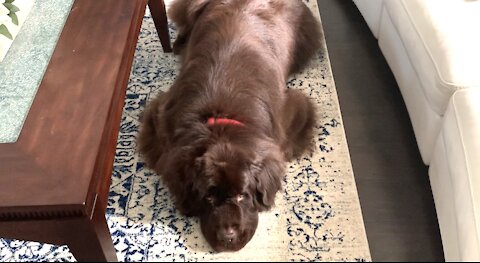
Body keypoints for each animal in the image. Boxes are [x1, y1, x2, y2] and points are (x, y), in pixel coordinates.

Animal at [137, 0, 320, 254]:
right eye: (209, 197)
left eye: (243, 196)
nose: (228, 237)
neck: (223, 121)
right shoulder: (162, 119)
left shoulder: (292, 113)